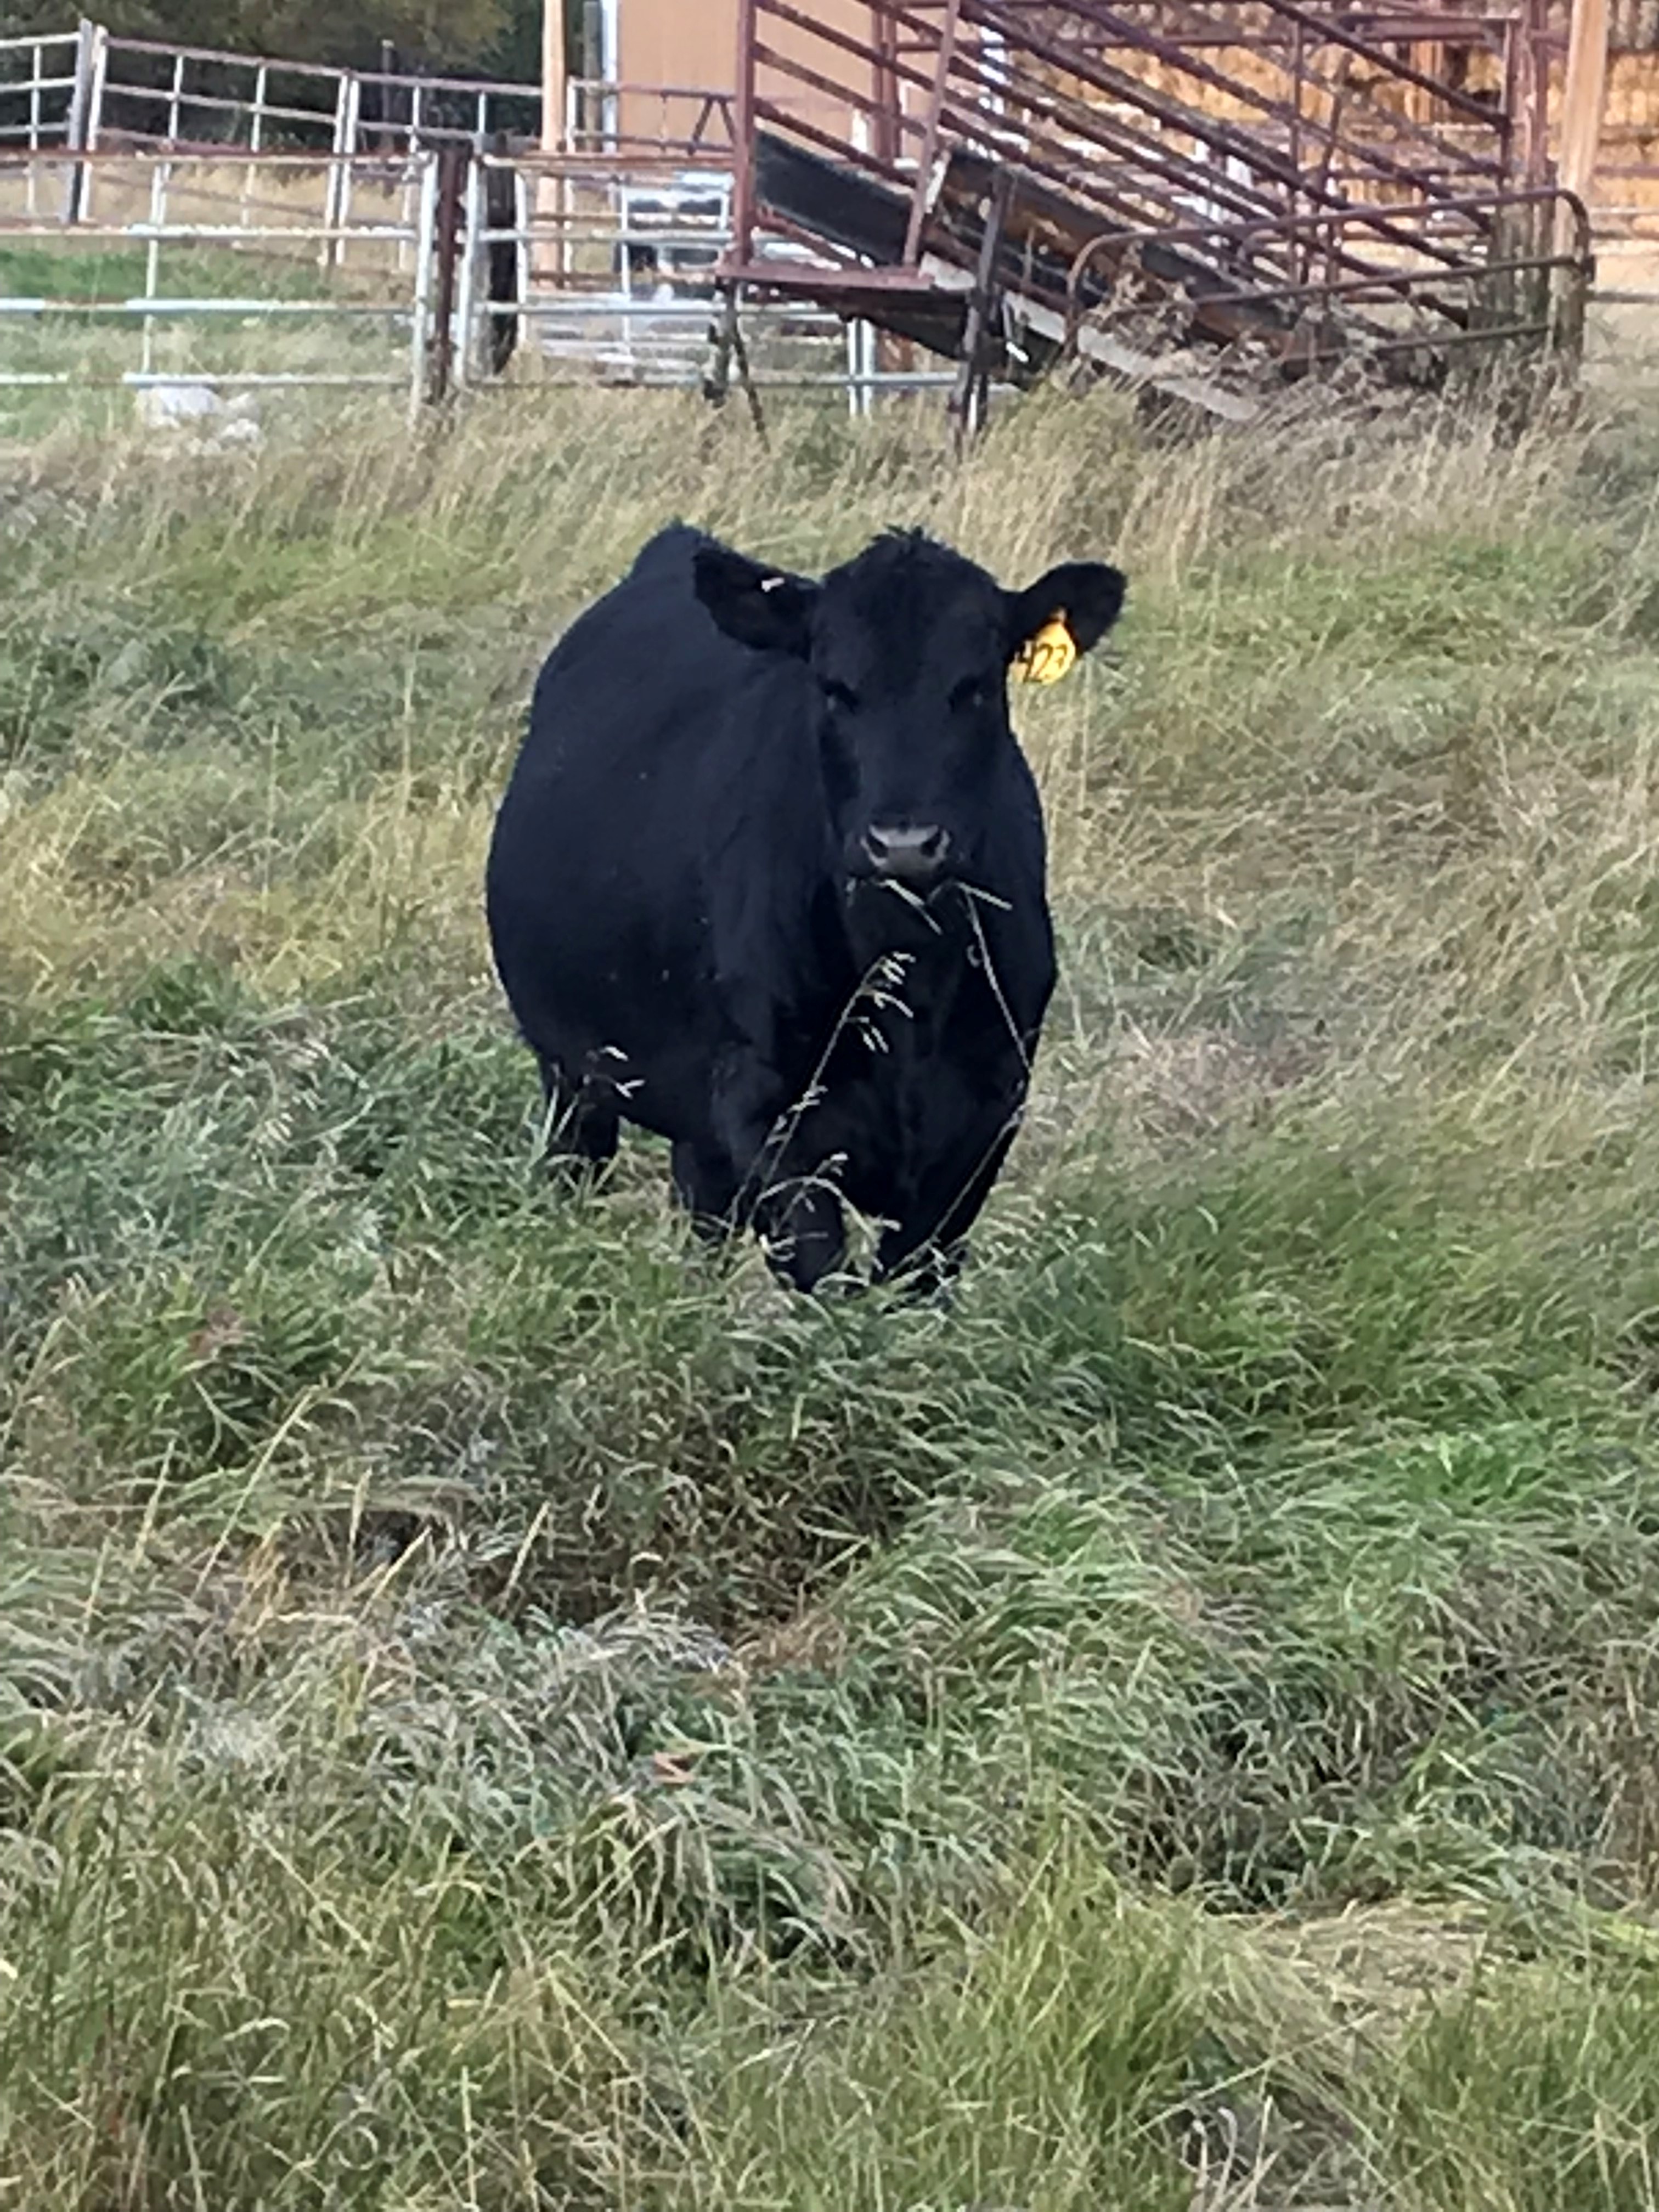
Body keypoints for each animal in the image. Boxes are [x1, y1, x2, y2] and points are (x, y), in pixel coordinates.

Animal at [485, 522, 1125, 1294]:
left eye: (974, 687)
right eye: (835, 689)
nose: (903, 843)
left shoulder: (988, 1111)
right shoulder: (769, 1112)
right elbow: (823, 1277)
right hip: (573, 1072)